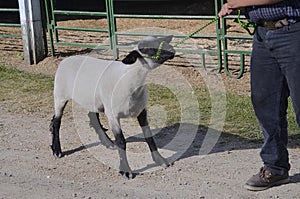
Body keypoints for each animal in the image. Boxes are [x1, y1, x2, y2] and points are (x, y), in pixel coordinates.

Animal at [49, 35, 176, 178]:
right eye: (147, 48)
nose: (172, 50)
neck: (130, 81)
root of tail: (65, 60)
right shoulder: (113, 115)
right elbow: (121, 142)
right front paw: (126, 170)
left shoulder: (142, 111)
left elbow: (149, 137)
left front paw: (160, 160)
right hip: (60, 95)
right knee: (56, 121)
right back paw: (57, 150)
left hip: (94, 99)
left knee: (92, 116)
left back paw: (108, 143)